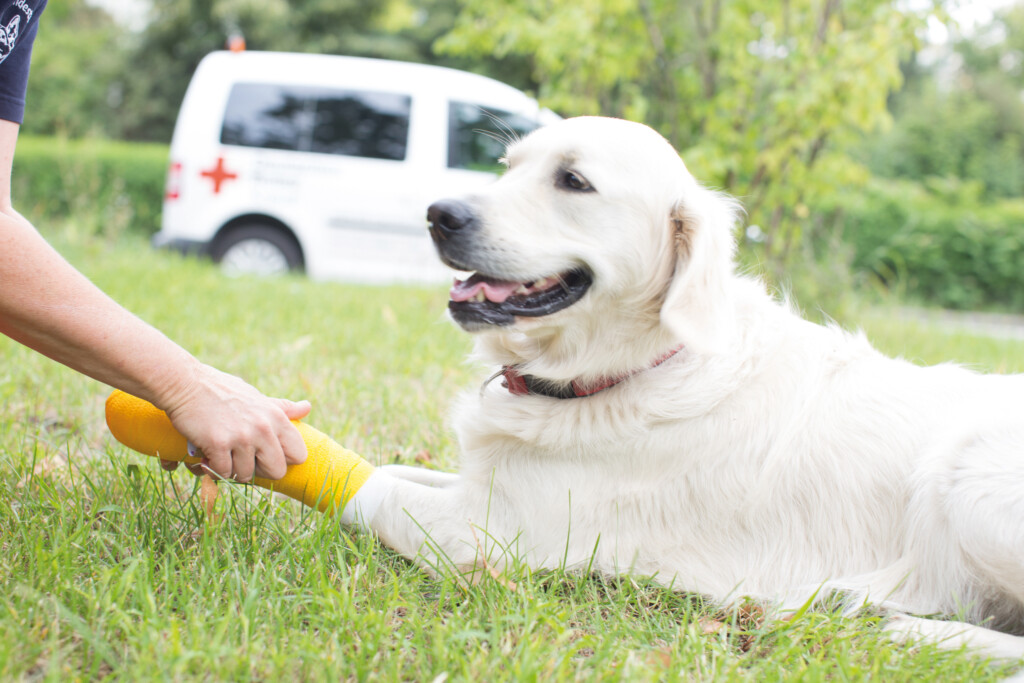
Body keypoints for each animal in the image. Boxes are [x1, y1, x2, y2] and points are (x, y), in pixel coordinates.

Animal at [342, 117, 1024, 663]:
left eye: (573, 181)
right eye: (509, 168)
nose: (440, 214)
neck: (641, 364)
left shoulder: (497, 531)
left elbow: (374, 492)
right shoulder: (485, 484)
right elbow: (390, 467)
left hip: (966, 471)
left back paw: (902, 625)